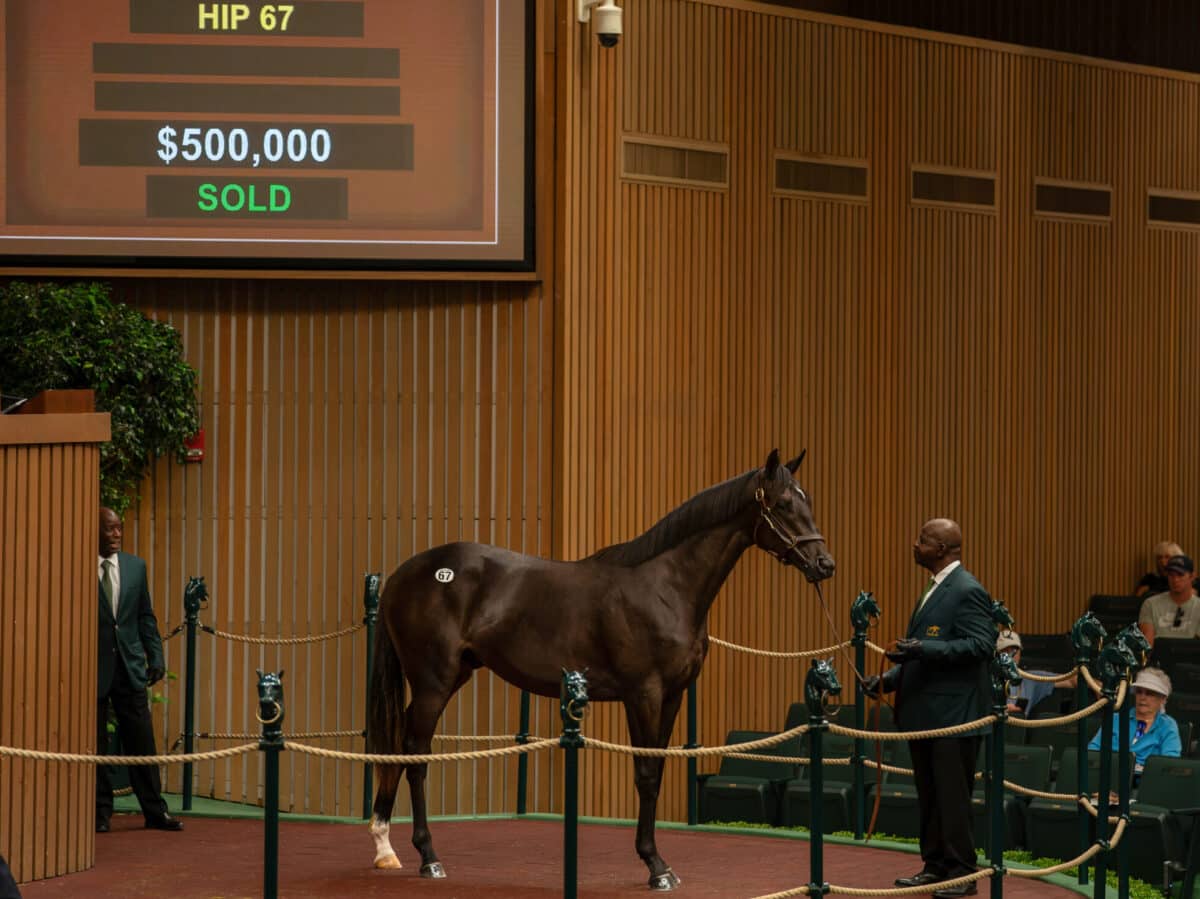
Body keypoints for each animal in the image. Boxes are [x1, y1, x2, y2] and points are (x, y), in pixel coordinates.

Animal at [364, 446, 835, 883]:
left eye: (809, 500)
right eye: (783, 504)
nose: (824, 564)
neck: (665, 586)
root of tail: (402, 575)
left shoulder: (673, 695)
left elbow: (658, 769)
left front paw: (657, 860)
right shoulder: (643, 694)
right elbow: (645, 773)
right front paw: (656, 866)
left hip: (450, 676)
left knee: (400, 746)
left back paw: (386, 846)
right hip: (433, 682)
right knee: (416, 753)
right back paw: (429, 857)